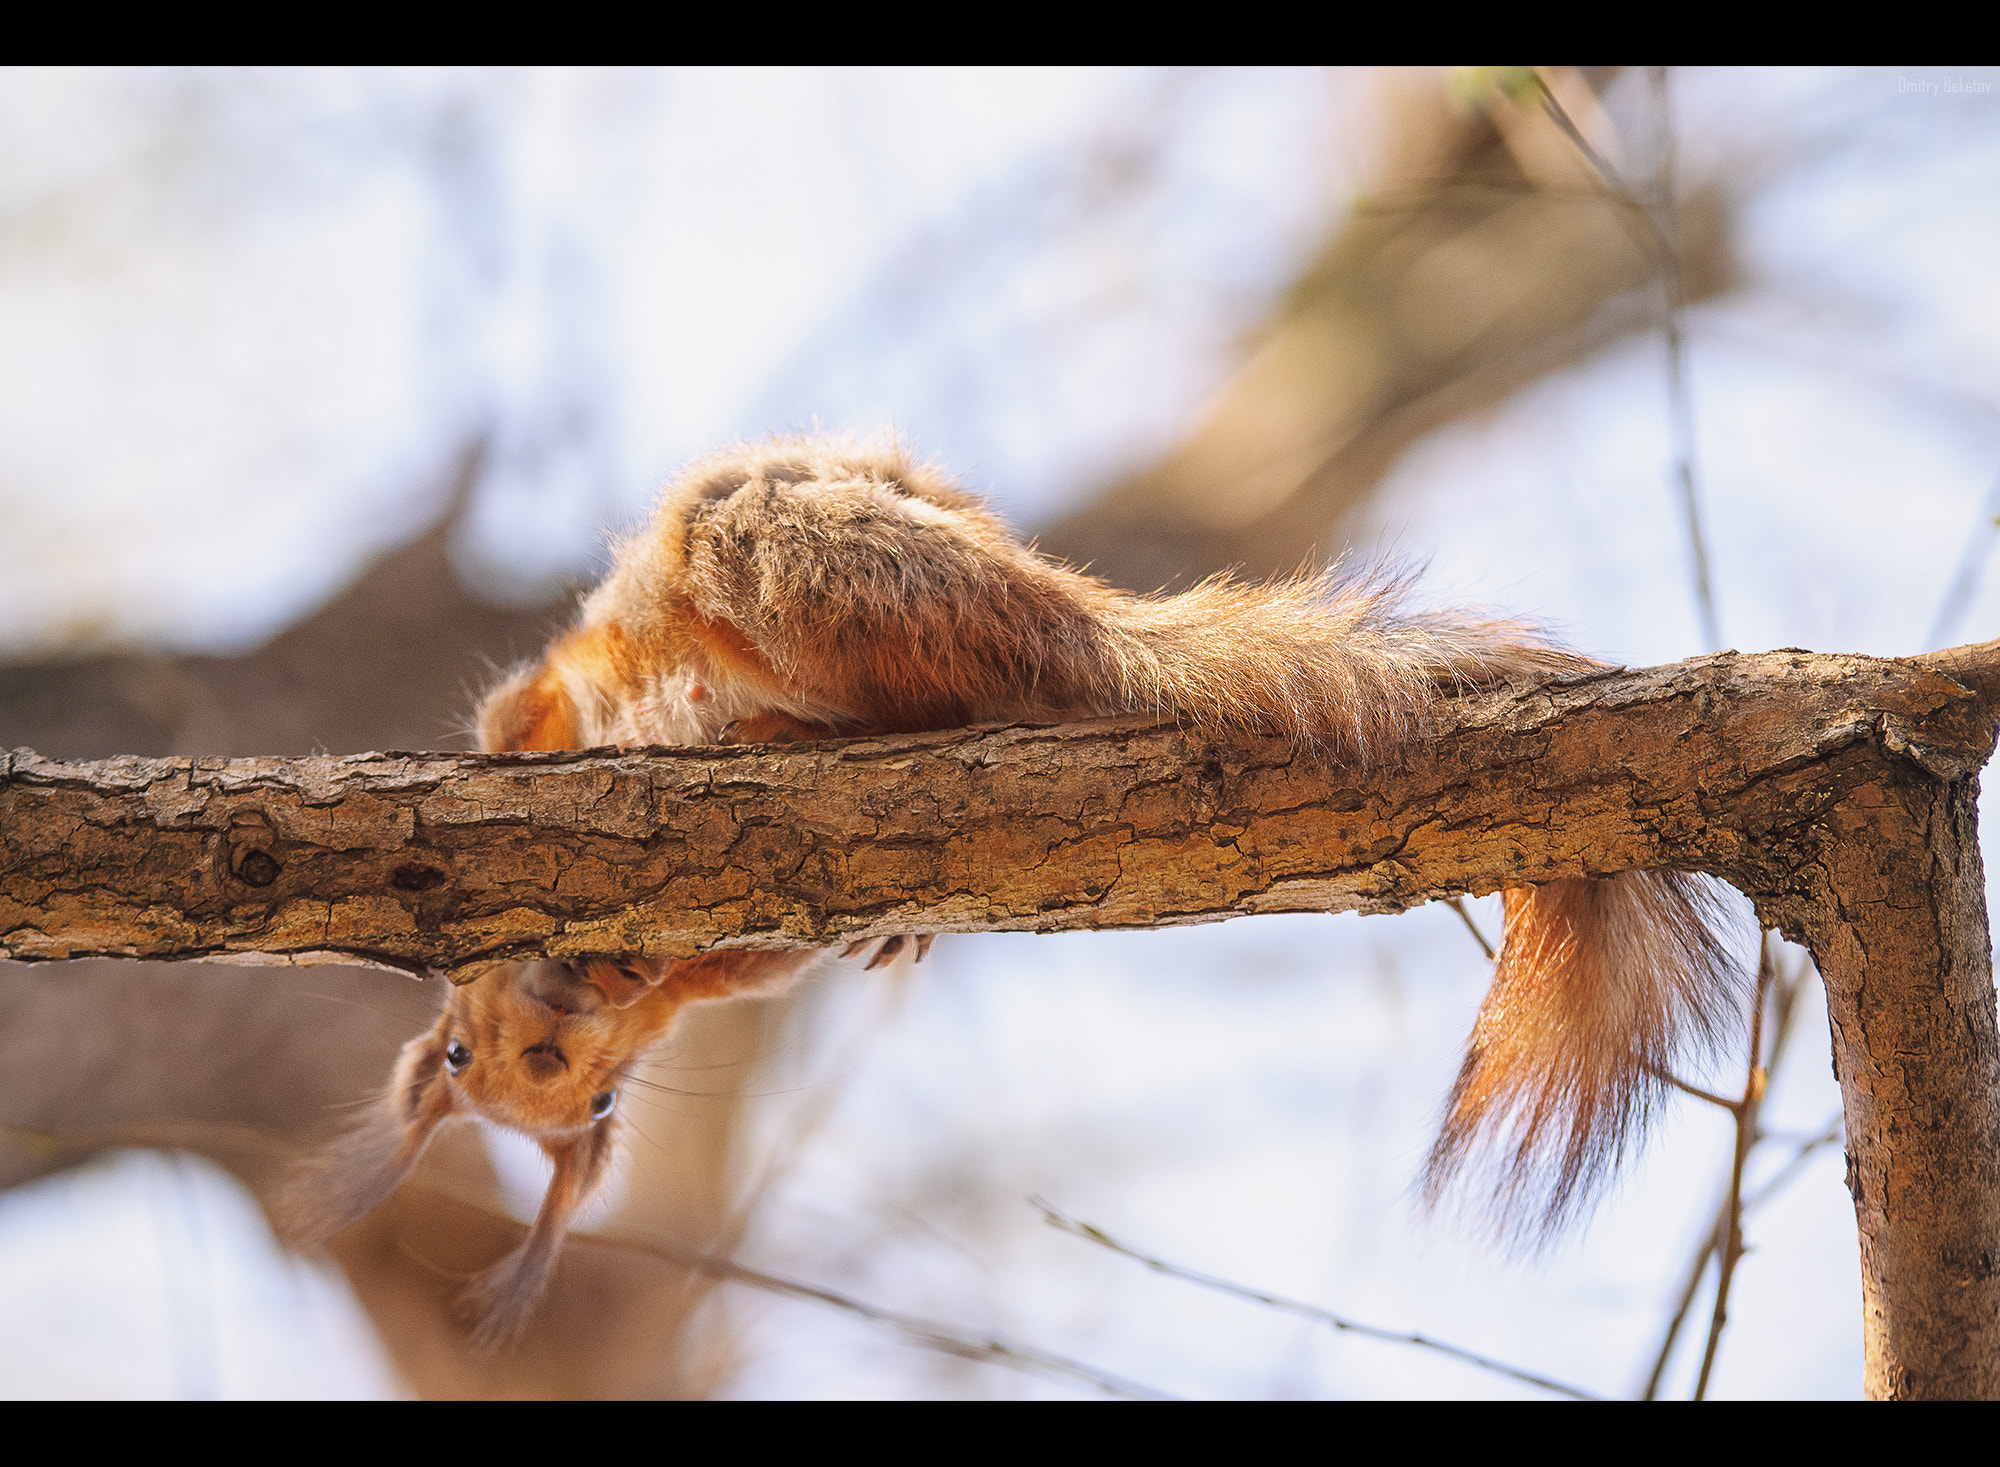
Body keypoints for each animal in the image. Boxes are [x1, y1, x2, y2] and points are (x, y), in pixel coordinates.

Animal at [278, 431, 1736, 1351]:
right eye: (465, 1064)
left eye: (580, 1095)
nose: (568, 1037)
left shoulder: (555, 711)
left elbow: (518, 725)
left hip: (783, 554)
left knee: (959, 683)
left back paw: (818, 725)